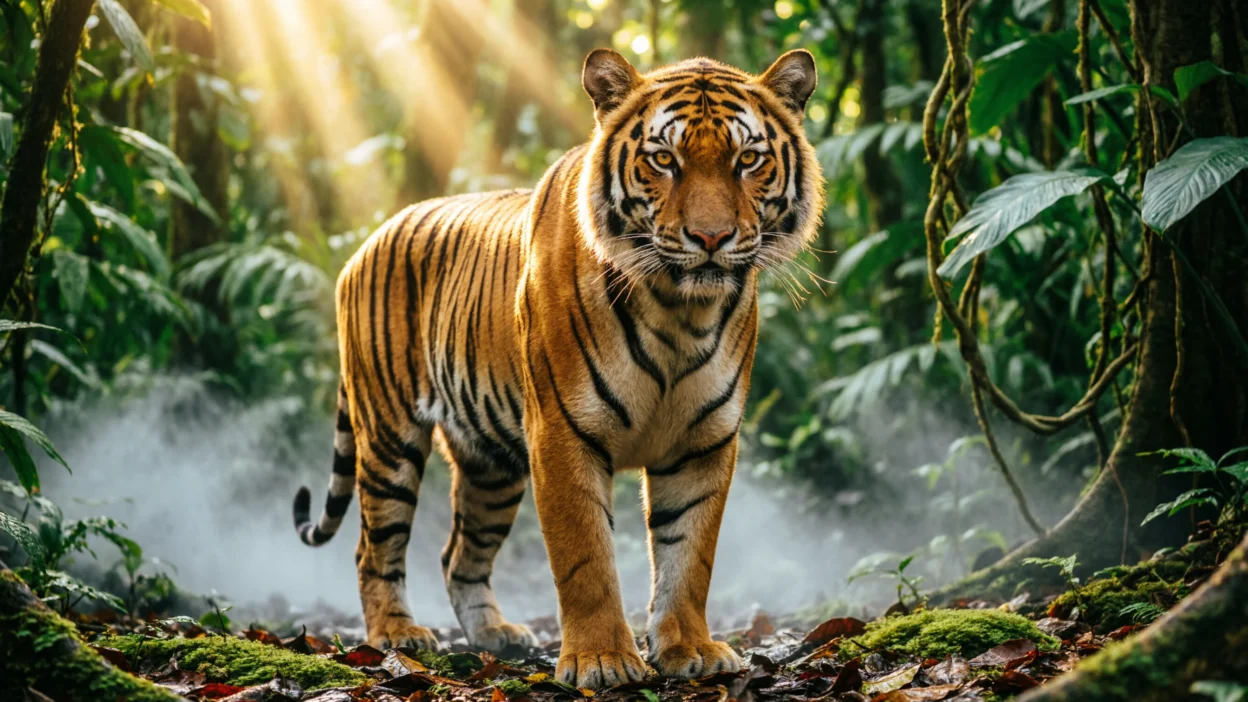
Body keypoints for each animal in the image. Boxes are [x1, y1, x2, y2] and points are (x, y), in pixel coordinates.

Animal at [292, 48, 823, 689]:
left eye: (748, 160)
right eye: (663, 160)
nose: (711, 237)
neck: (679, 310)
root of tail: (367, 242)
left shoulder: (704, 442)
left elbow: (689, 556)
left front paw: (689, 649)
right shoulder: (563, 433)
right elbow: (586, 558)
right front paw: (602, 661)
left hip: (492, 467)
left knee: (458, 555)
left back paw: (495, 632)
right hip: (390, 436)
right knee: (374, 547)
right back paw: (397, 633)